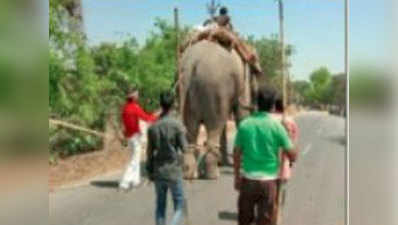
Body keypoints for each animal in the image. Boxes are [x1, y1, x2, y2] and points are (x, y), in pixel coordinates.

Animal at [178, 40, 260, 179]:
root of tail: (191, 61)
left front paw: (224, 163)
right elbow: (242, 115)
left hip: (186, 91)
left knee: (191, 128)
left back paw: (190, 173)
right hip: (215, 87)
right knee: (215, 125)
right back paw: (213, 175)